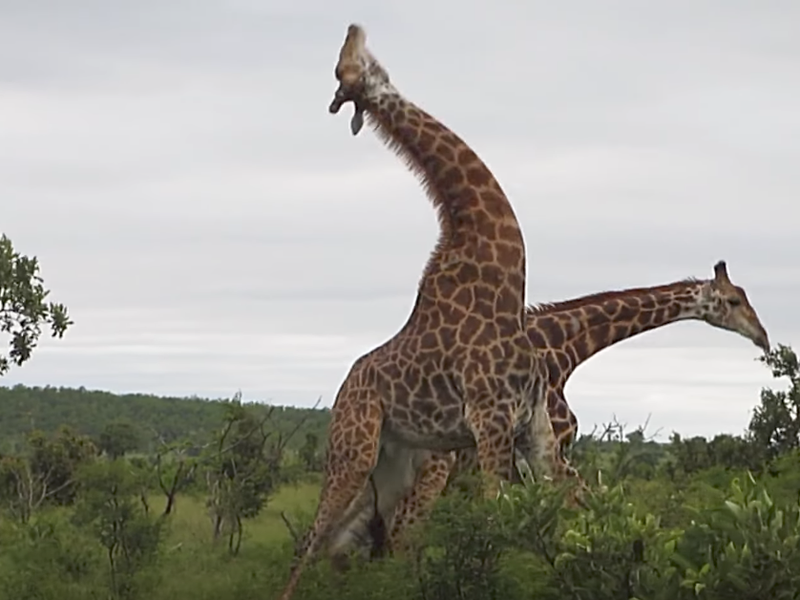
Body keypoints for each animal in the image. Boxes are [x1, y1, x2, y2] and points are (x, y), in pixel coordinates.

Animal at [277, 24, 551, 600]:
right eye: (345, 70)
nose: (352, 28)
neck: (506, 283)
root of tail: (344, 387)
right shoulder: (490, 423)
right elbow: (495, 522)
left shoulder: (533, 429)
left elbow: (567, 512)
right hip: (353, 449)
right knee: (313, 539)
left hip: (394, 465)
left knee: (360, 541)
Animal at [364, 260, 770, 555]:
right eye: (734, 300)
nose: (763, 337)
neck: (562, 349)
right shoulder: (552, 446)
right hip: (432, 470)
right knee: (403, 534)